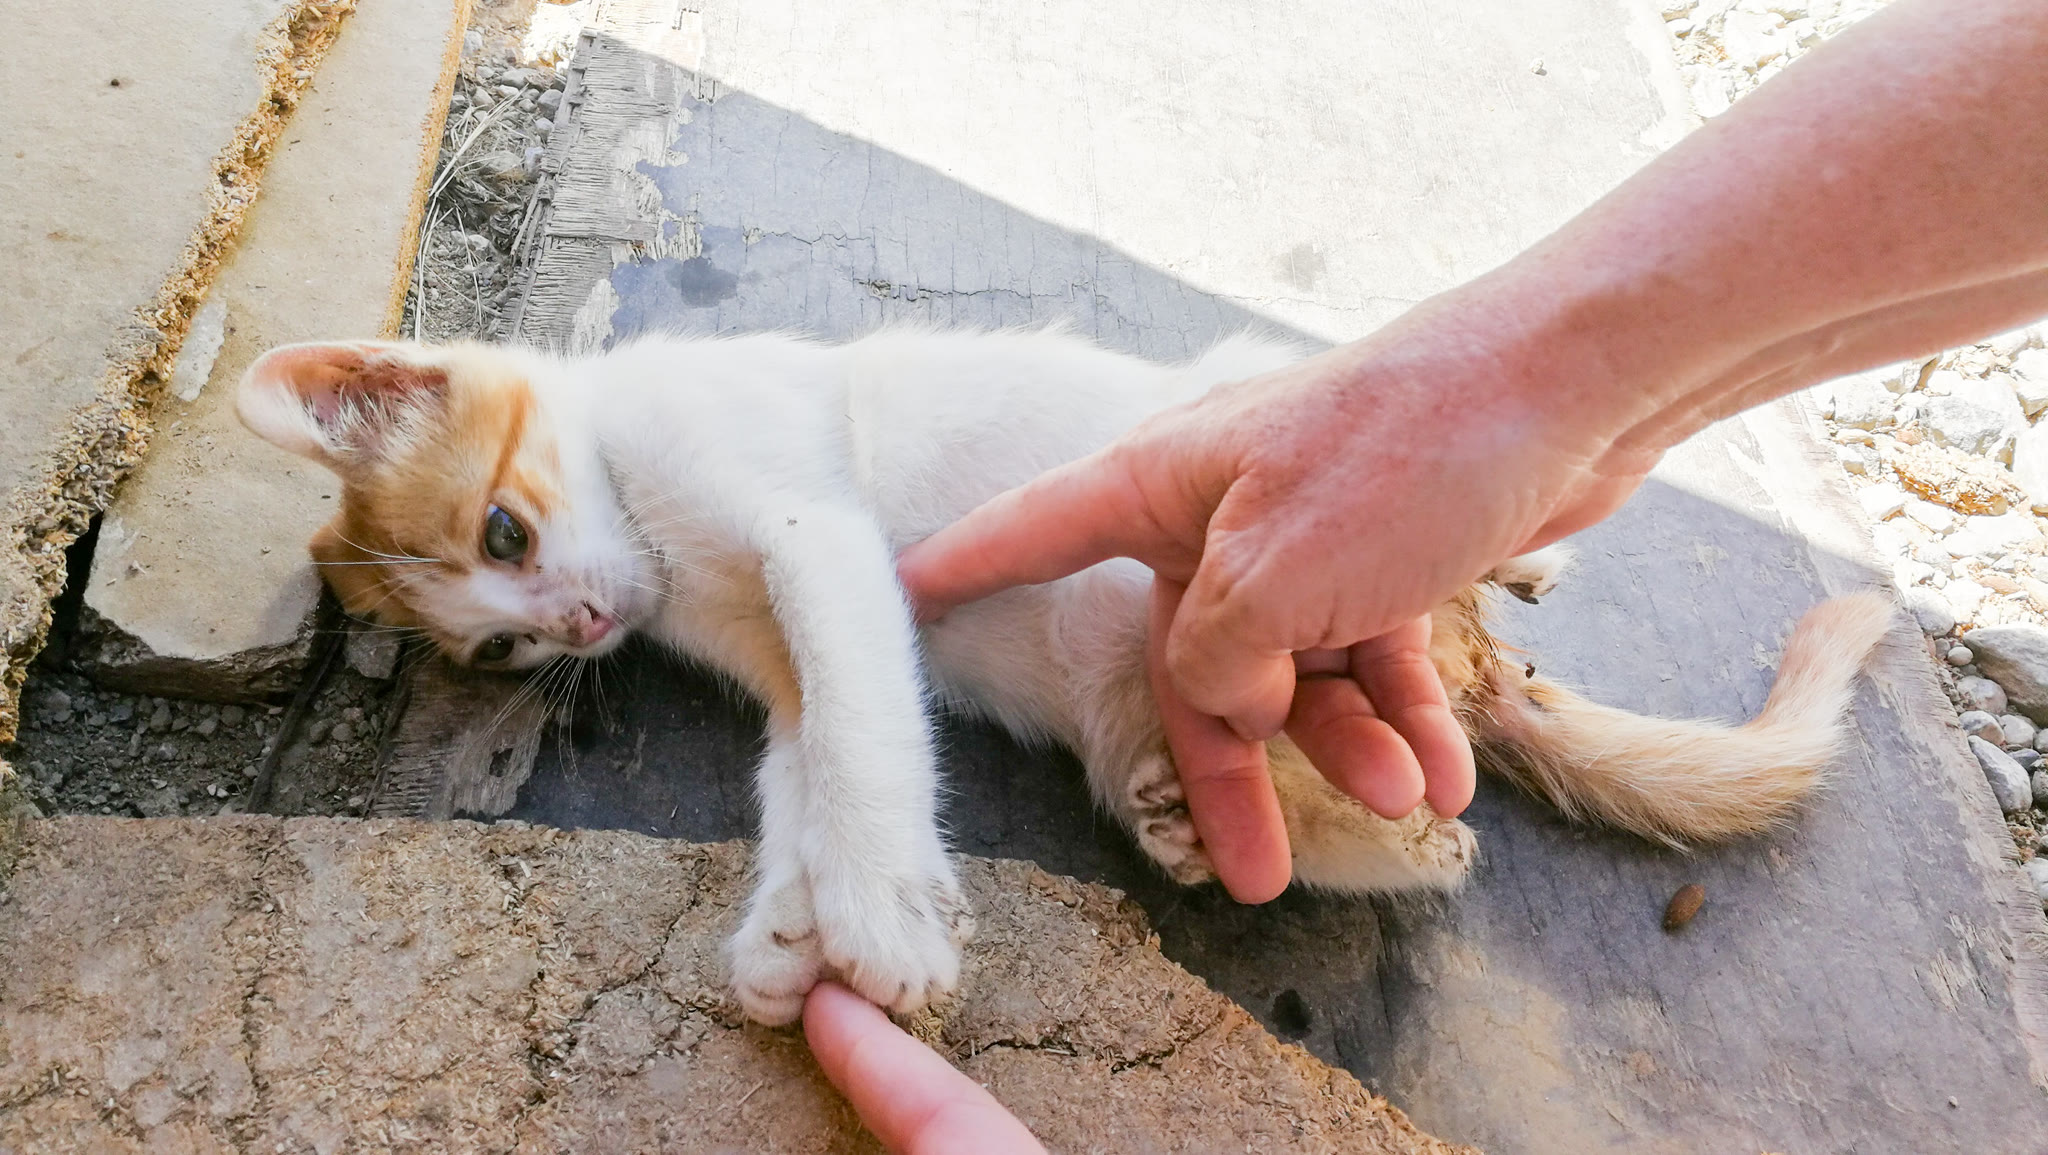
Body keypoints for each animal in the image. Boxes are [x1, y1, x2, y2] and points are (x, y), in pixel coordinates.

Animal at [235, 328, 1894, 1025]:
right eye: (499, 643)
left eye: (505, 530)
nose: (577, 624)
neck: (649, 522)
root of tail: (1470, 656)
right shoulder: (778, 641)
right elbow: (807, 756)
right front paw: (788, 931)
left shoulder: (814, 534)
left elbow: (861, 735)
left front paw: (879, 916)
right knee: (1428, 825)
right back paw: (1247, 816)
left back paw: (1523, 570)